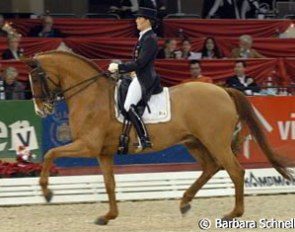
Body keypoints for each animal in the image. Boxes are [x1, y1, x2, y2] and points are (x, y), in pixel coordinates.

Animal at [25, 51, 294, 225]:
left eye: (36, 78)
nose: (41, 110)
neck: (91, 95)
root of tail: (222, 89)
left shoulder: (88, 146)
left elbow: (50, 153)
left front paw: (46, 192)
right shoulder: (103, 152)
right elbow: (109, 184)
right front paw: (108, 216)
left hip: (214, 141)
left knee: (235, 171)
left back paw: (232, 214)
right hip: (194, 142)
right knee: (211, 167)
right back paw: (185, 202)